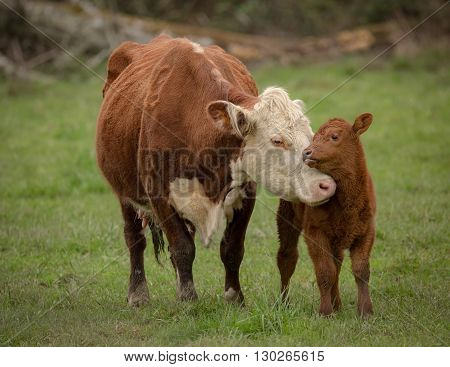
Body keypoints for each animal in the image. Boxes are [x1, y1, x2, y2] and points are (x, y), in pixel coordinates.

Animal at [96, 36, 334, 308]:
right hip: (125, 192)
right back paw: (138, 294)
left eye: (310, 137)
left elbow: (231, 248)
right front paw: (188, 298)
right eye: (277, 140)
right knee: (134, 238)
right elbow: (182, 247)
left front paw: (234, 297)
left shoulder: (246, 192)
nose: (325, 185)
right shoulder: (159, 194)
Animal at [278, 113, 376, 318]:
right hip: (287, 217)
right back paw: (284, 304)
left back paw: (337, 303)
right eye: (314, 138)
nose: (306, 152)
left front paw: (365, 311)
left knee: (337, 264)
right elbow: (324, 271)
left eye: (334, 137)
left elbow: (361, 271)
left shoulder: (367, 230)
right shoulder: (315, 232)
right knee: (287, 257)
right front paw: (325, 312)